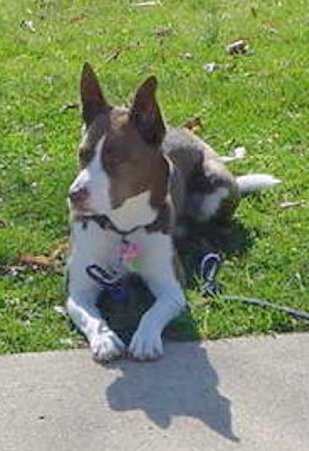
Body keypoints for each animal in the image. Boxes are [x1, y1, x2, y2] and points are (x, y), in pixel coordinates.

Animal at [66, 62, 278, 364]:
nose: (74, 195)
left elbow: (152, 312)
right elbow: (91, 317)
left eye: (116, 159)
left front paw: (145, 339)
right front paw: (105, 339)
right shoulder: (79, 290)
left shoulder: (172, 287)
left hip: (215, 188)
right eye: (82, 154)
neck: (123, 227)